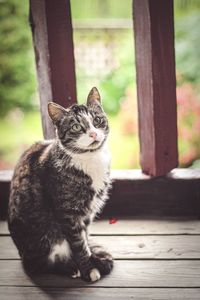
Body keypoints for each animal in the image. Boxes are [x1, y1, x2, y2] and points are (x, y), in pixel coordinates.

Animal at [7, 86, 113, 282]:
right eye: (76, 126)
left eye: (97, 120)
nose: (93, 133)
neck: (90, 159)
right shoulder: (67, 213)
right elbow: (78, 244)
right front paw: (88, 269)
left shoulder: (86, 214)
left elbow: (85, 237)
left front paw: (94, 257)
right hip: (44, 238)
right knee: (34, 266)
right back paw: (68, 268)